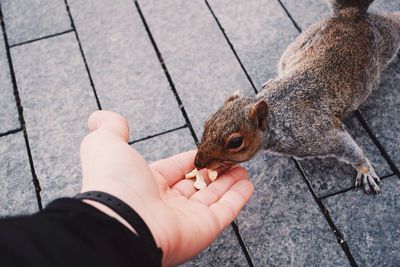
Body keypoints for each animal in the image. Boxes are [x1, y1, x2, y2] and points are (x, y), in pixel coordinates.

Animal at [193, 0, 396, 194]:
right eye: (207, 123)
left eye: (235, 142)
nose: (198, 163)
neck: (278, 116)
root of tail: (351, 15)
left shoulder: (318, 134)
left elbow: (348, 147)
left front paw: (364, 170)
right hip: (295, 47)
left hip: (387, 40)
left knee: (394, 21)